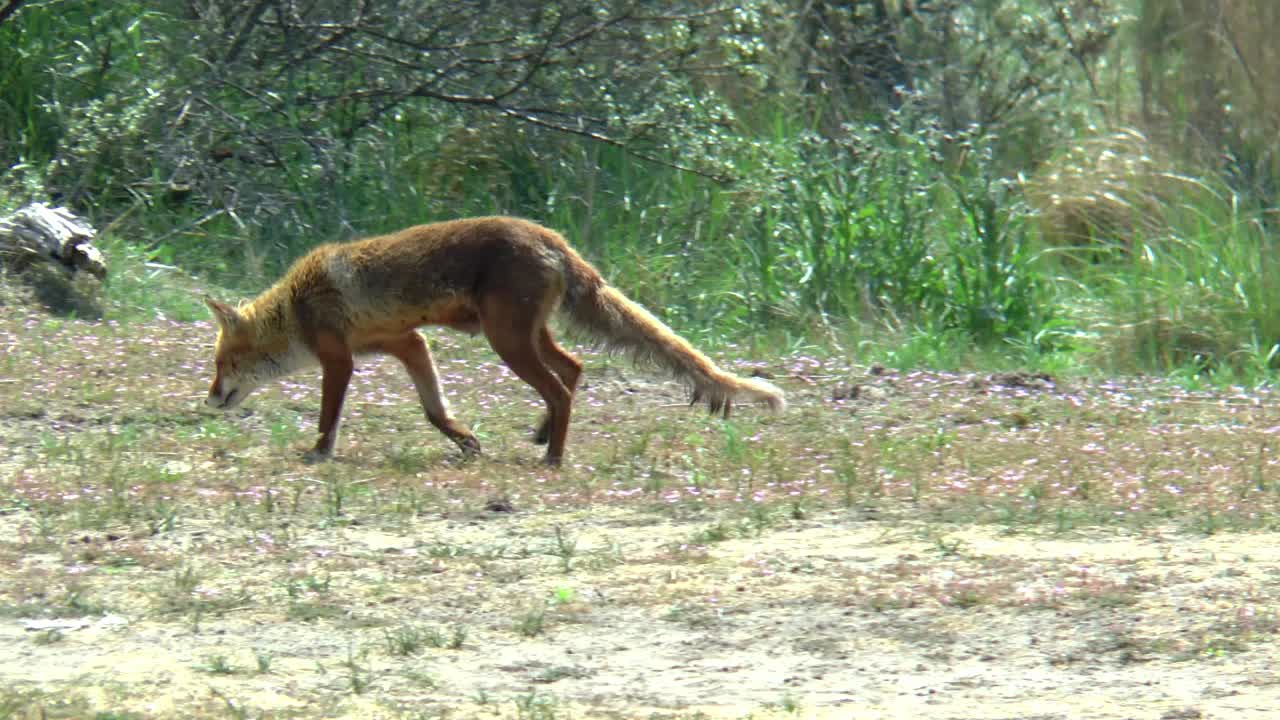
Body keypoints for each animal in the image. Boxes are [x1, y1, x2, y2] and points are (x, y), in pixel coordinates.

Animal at [202, 216, 786, 466]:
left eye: (222, 364)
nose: (208, 401)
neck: (296, 306)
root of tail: (553, 238)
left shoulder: (339, 358)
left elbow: (329, 417)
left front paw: (319, 453)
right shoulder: (407, 342)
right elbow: (434, 409)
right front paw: (464, 441)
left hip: (507, 341)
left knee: (560, 387)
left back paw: (555, 456)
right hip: (524, 335)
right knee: (573, 370)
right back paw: (543, 437)